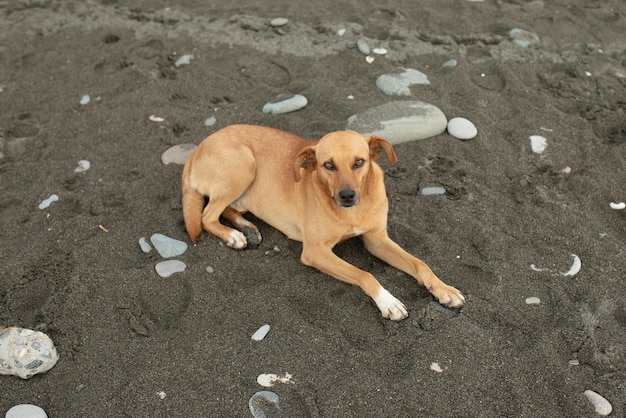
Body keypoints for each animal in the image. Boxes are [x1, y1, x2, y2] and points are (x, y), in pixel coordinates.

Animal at [180, 124, 464, 320]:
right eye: (328, 165)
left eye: (359, 162)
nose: (347, 196)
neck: (351, 213)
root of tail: (197, 148)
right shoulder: (316, 252)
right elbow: (366, 274)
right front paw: (388, 301)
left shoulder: (377, 240)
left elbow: (420, 264)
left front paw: (444, 290)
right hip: (244, 164)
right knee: (206, 216)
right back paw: (233, 235)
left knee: (226, 209)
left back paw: (247, 228)